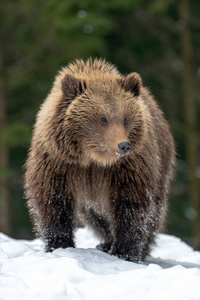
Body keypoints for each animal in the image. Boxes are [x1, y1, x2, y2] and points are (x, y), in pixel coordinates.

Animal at [24, 57, 175, 262]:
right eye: (103, 119)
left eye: (125, 118)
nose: (123, 145)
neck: (93, 160)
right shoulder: (59, 162)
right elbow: (52, 199)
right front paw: (59, 244)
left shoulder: (128, 167)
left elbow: (132, 205)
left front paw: (125, 252)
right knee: (95, 215)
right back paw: (105, 243)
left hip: (161, 163)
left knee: (154, 211)